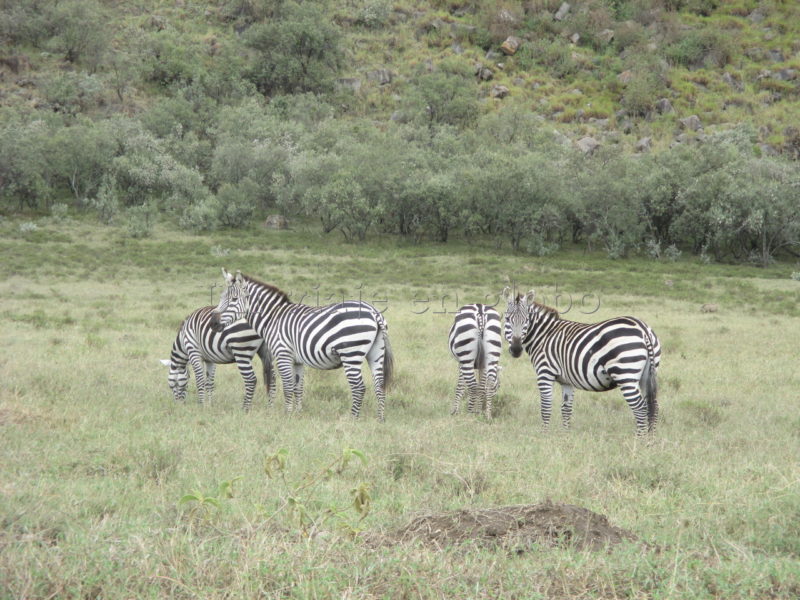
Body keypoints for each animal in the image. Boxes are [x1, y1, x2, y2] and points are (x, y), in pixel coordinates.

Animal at [162, 270, 276, 410]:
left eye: (171, 384)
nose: (178, 404)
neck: (182, 342)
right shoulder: (210, 359)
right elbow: (209, 382)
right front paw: (209, 404)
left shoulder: (193, 351)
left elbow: (200, 380)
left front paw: (201, 404)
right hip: (265, 350)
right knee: (272, 377)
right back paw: (270, 407)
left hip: (241, 351)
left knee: (251, 379)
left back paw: (245, 409)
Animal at [216, 270, 394, 420]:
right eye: (221, 297)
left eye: (233, 299)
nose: (213, 323)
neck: (273, 317)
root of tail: (374, 312)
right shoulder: (298, 361)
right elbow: (298, 387)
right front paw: (298, 413)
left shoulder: (283, 355)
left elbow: (288, 387)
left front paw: (287, 415)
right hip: (376, 352)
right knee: (379, 385)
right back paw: (380, 418)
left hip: (351, 353)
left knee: (359, 387)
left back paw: (352, 419)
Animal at [500, 286, 664, 436]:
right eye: (507, 319)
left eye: (526, 321)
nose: (516, 349)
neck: (544, 336)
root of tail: (642, 328)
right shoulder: (566, 381)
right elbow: (566, 409)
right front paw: (565, 437)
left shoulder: (545, 374)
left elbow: (546, 407)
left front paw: (544, 436)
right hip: (647, 374)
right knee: (653, 407)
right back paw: (651, 440)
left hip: (625, 374)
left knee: (640, 408)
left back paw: (639, 440)